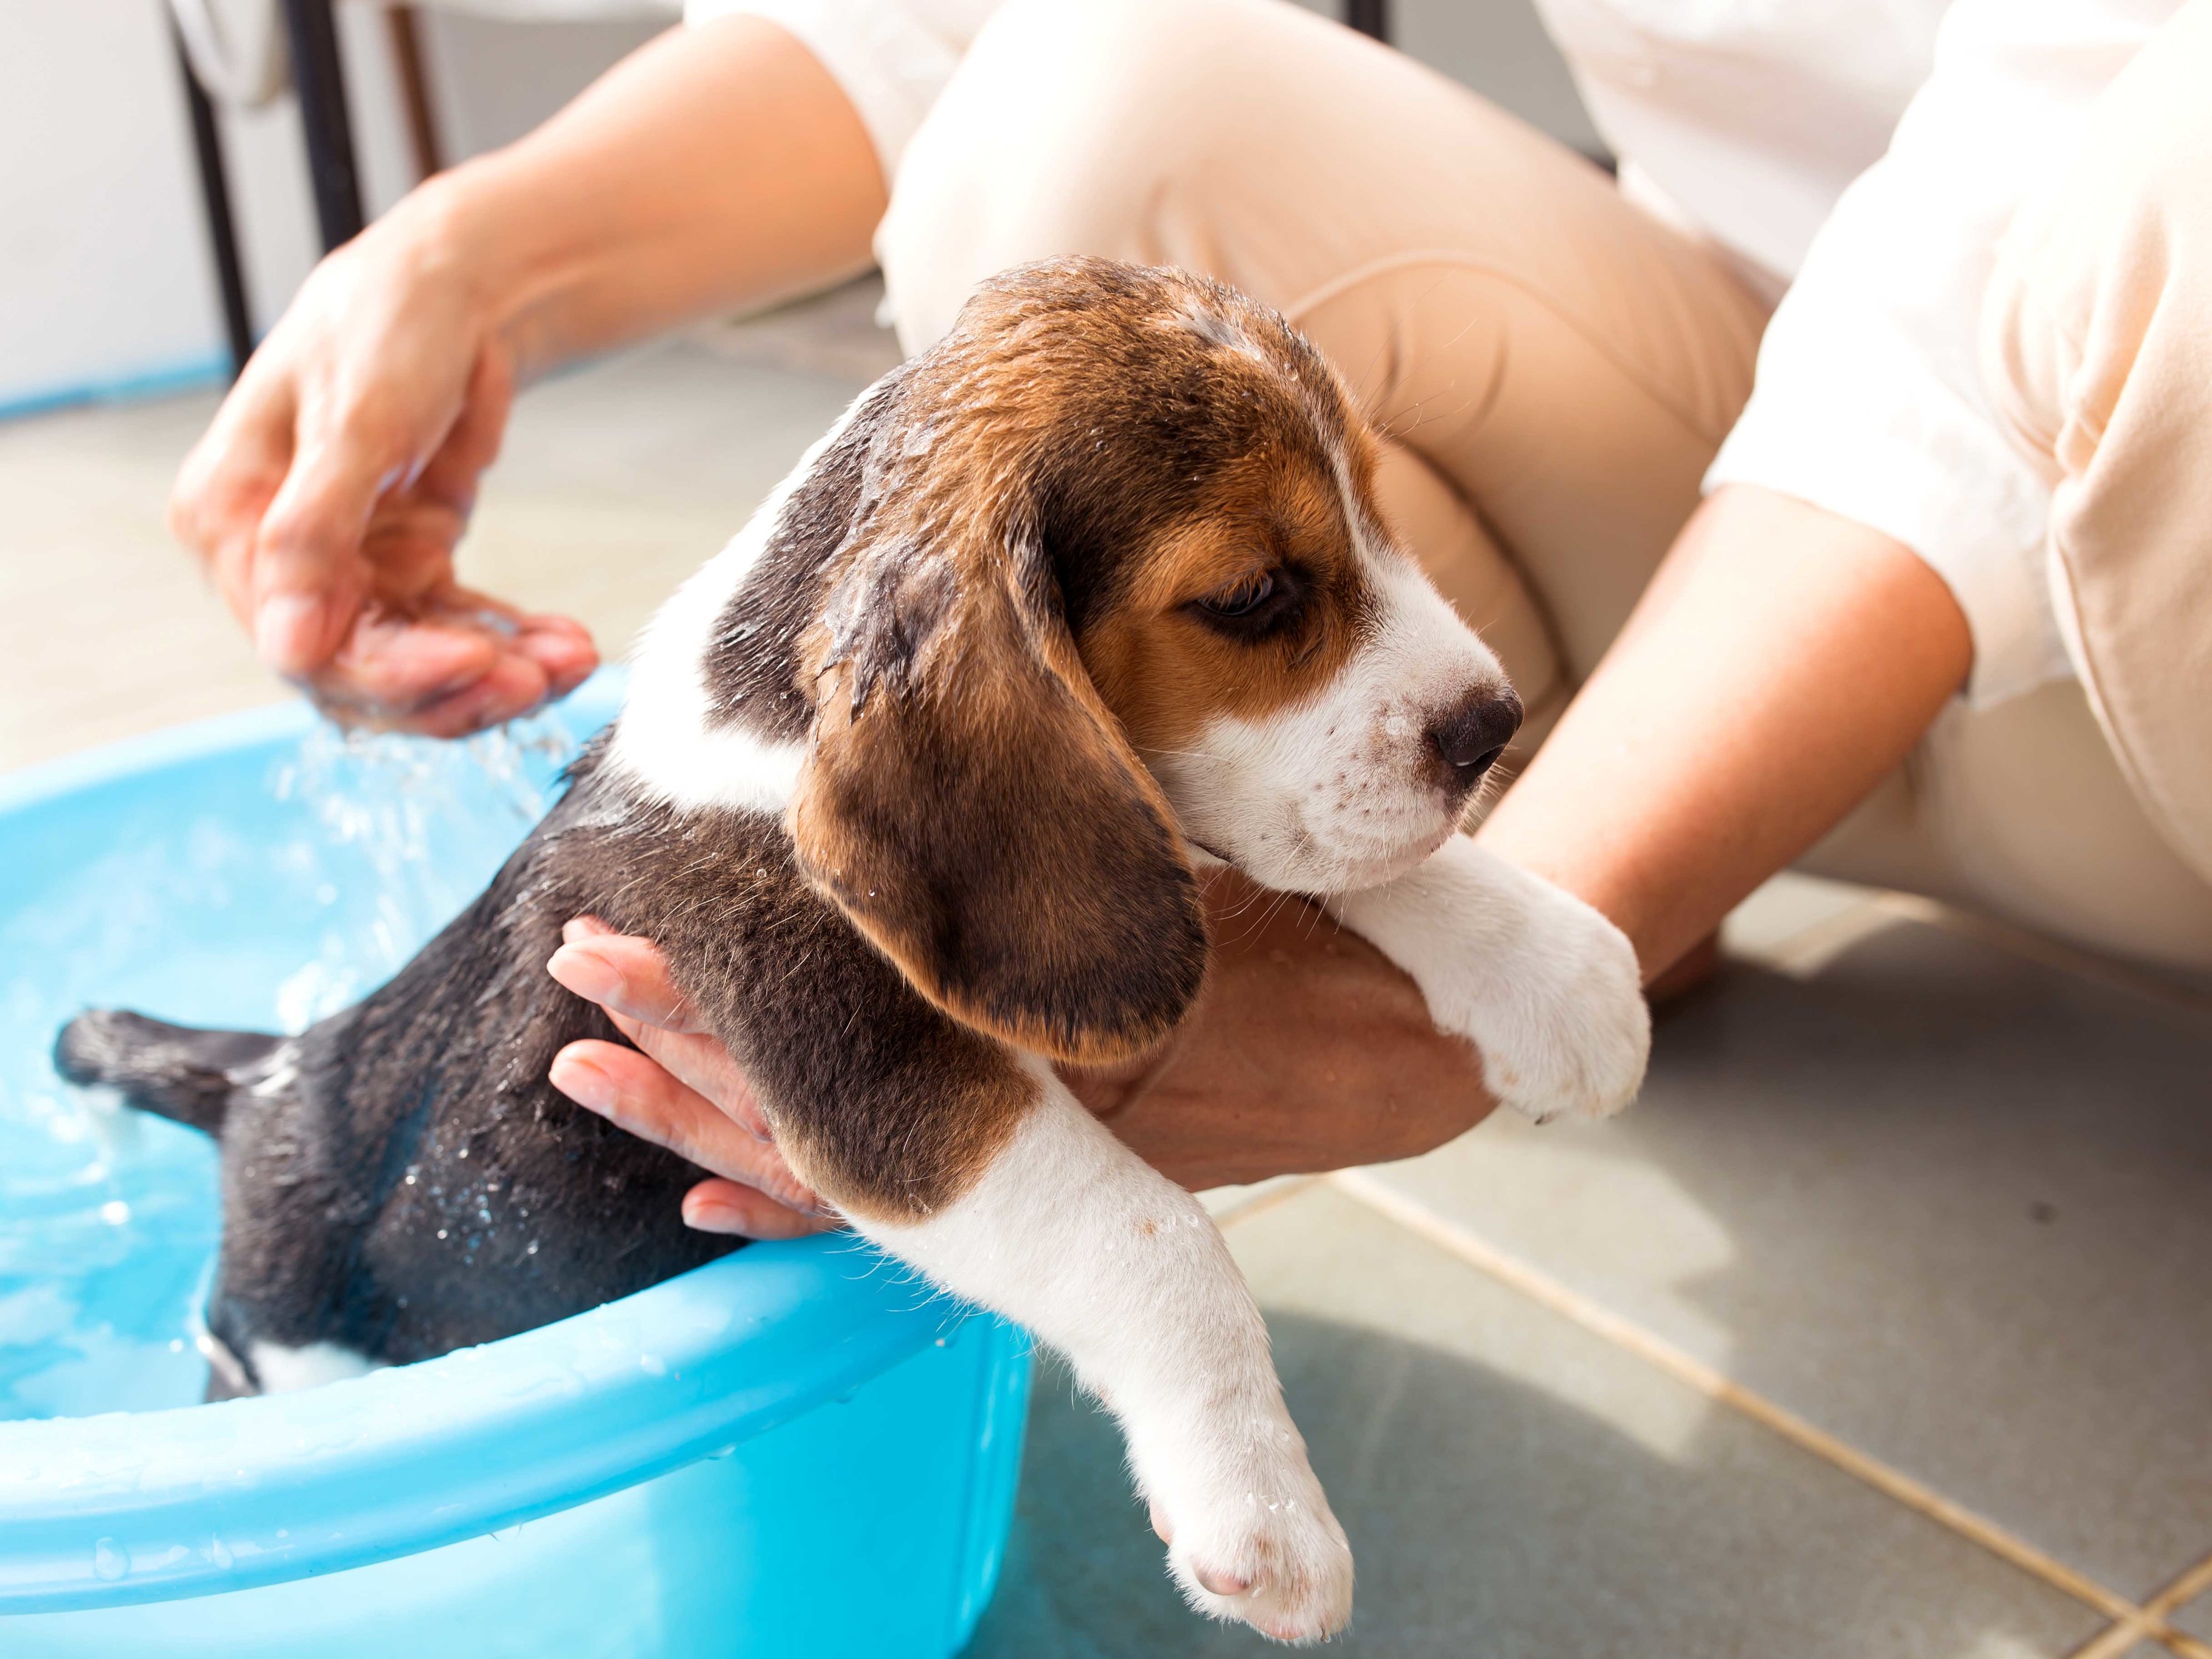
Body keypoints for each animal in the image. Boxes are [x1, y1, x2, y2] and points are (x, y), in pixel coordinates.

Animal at [56, 260, 1646, 1655]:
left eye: (1383, 515)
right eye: (1255, 597)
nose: (1494, 725)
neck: (766, 715)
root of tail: (268, 1078)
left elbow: (1348, 868)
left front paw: (1557, 971)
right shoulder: (873, 1074)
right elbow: (1155, 1239)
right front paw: (1261, 1512)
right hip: (279, 1339)